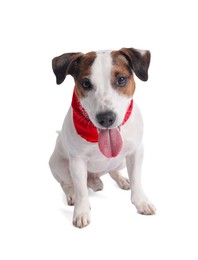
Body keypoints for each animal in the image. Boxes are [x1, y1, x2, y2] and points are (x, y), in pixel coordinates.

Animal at [48, 46, 155, 228]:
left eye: (121, 79)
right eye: (86, 84)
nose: (106, 118)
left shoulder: (136, 151)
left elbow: (136, 179)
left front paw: (141, 202)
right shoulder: (77, 161)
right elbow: (81, 190)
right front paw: (81, 212)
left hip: (120, 161)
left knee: (113, 170)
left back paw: (121, 180)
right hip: (59, 164)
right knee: (67, 183)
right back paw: (72, 194)